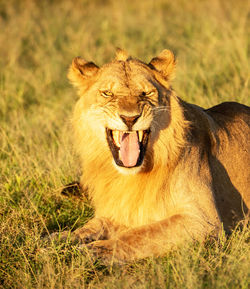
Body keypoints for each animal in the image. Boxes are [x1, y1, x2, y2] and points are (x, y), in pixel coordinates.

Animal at [59, 47, 249, 260]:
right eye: (107, 93)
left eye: (146, 93)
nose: (130, 118)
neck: (128, 177)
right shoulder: (122, 211)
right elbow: (96, 224)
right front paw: (59, 239)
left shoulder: (203, 221)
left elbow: (141, 234)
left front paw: (96, 250)